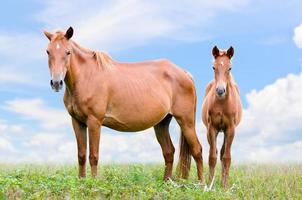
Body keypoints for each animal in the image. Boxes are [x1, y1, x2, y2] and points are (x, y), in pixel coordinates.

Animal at [43, 26, 203, 181]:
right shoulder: (77, 122)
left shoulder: (94, 122)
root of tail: (185, 73)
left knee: (197, 150)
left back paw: (202, 184)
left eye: (68, 52)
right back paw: (166, 182)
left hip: (186, 121)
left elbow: (93, 156)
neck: (87, 77)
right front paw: (81, 183)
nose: (56, 83)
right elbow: (81, 156)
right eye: (48, 51)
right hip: (162, 123)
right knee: (169, 152)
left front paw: (93, 184)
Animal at [202, 46, 242, 188]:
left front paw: (225, 186)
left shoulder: (230, 129)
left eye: (230, 68)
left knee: (223, 153)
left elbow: (226, 157)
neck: (222, 103)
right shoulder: (212, 128)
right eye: (213, 67)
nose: (220, 90)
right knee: (216, 152)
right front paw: (210, 184)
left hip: (225, 132)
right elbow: (212, 157)